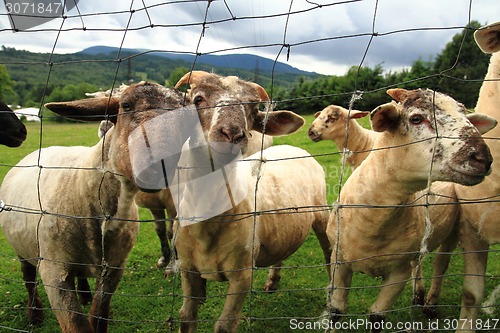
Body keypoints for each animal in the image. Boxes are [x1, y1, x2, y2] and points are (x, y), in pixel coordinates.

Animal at [0, 81, 189, 332]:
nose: (160, 163)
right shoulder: (54, 272)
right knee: (28, 278)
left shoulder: (114, 268)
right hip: (23, 248)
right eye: (125, 105)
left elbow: (98, 315)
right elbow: (77, 324)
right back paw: (35, 314)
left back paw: (84, 294)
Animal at [172, 70, 332, 332]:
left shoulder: (242, 275)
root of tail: (293, 147)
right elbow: (186, 317)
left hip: (322, 215)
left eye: (253, 107)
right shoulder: (187, 268)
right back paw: (273, 281)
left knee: (329, 256)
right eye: (198, 99)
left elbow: (224, 325)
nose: (232, 134)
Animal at [326, 86, 494, 330]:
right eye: (416, 119)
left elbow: (377, 316)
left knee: (440, 264)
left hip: (454, 229)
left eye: (465, 116)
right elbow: (336, 312)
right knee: (419, 261)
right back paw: (419, 294)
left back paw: (430, 303)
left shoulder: (399, 272)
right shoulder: (338, 261)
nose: (483, 158)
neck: (371, 220)